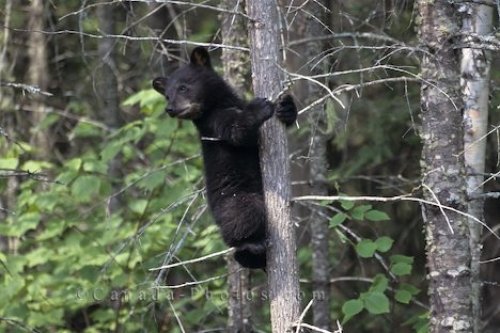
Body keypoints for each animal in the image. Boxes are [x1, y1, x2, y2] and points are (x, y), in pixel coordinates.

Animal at [152, 46, 296, 268]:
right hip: (234, 201)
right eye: (167, 95)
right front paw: (259, 108)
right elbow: (238, 133)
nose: (170, 109)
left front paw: (287, 107)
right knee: (245, 216)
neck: (217, 104)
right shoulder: (215, 123)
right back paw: (250, 245)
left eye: (183, 87)